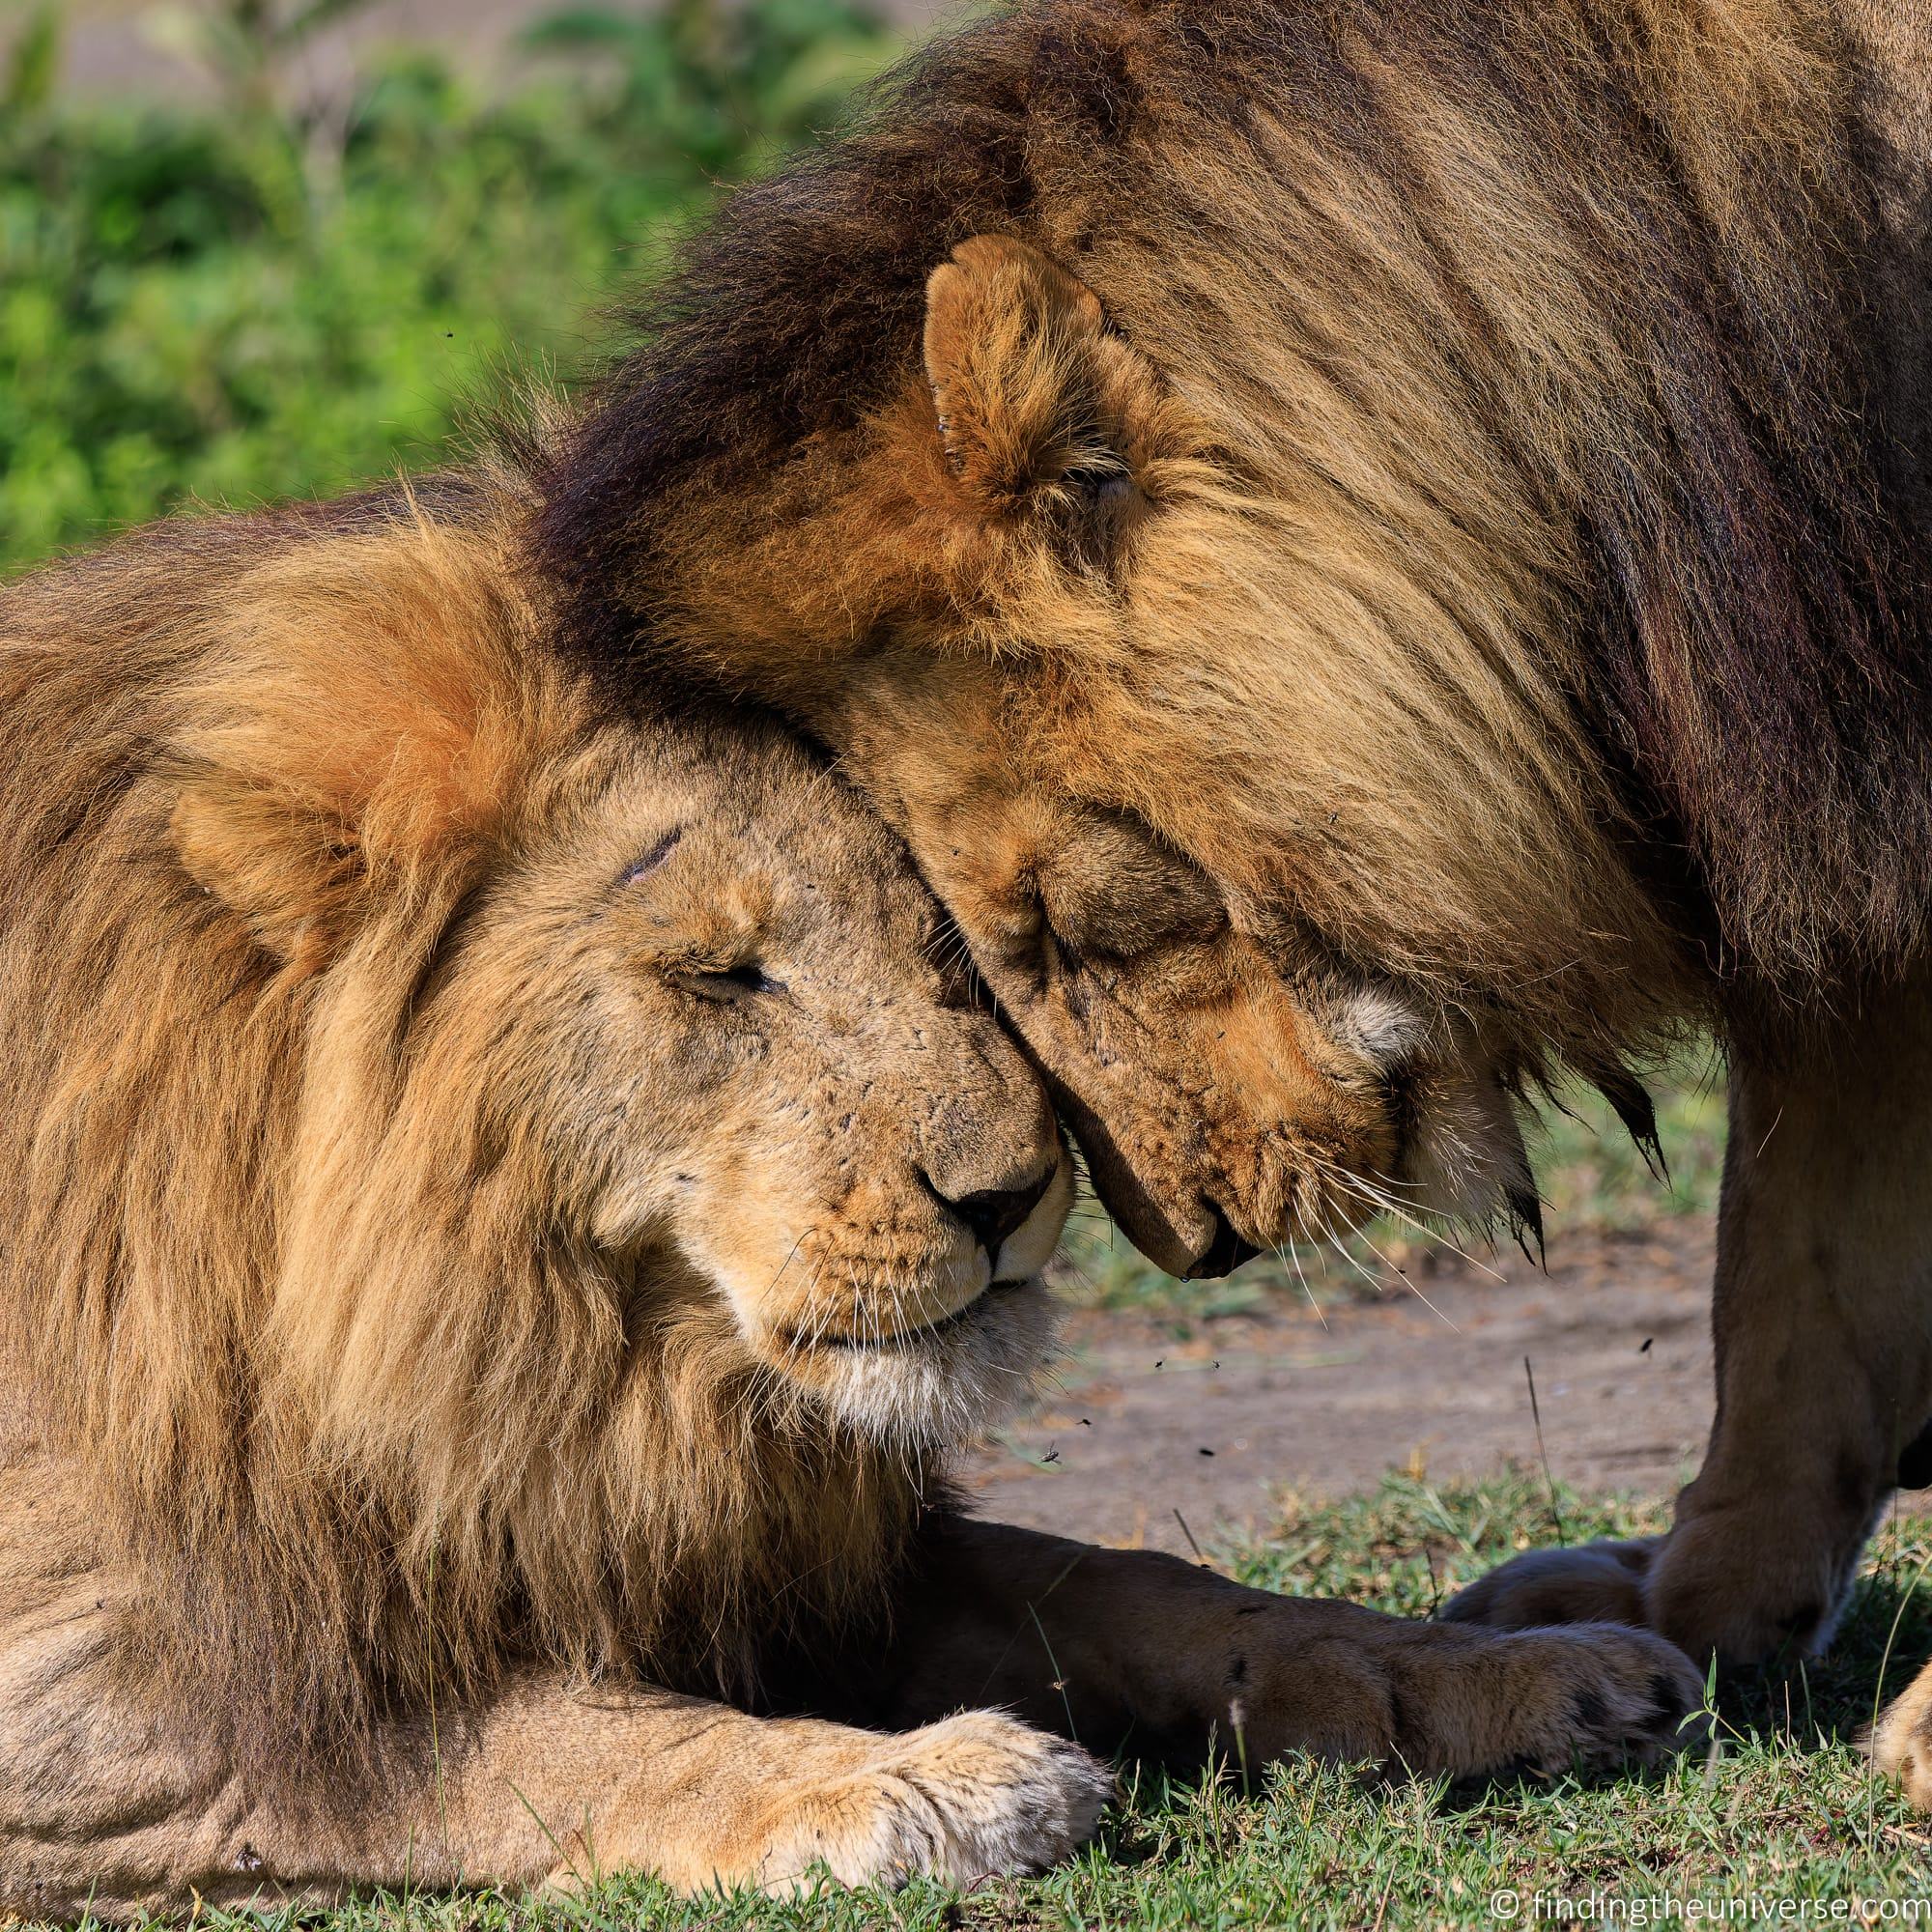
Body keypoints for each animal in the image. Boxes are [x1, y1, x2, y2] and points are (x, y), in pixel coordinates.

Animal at [0, 465, 1706, 1917]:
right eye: (719, 975)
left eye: (942, 947)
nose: (1010, 1198)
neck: (544, 1360)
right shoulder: (123, 1676)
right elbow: (540, 1731)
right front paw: (922, 1785)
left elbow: (1148, 1589)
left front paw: (1512, 1671)